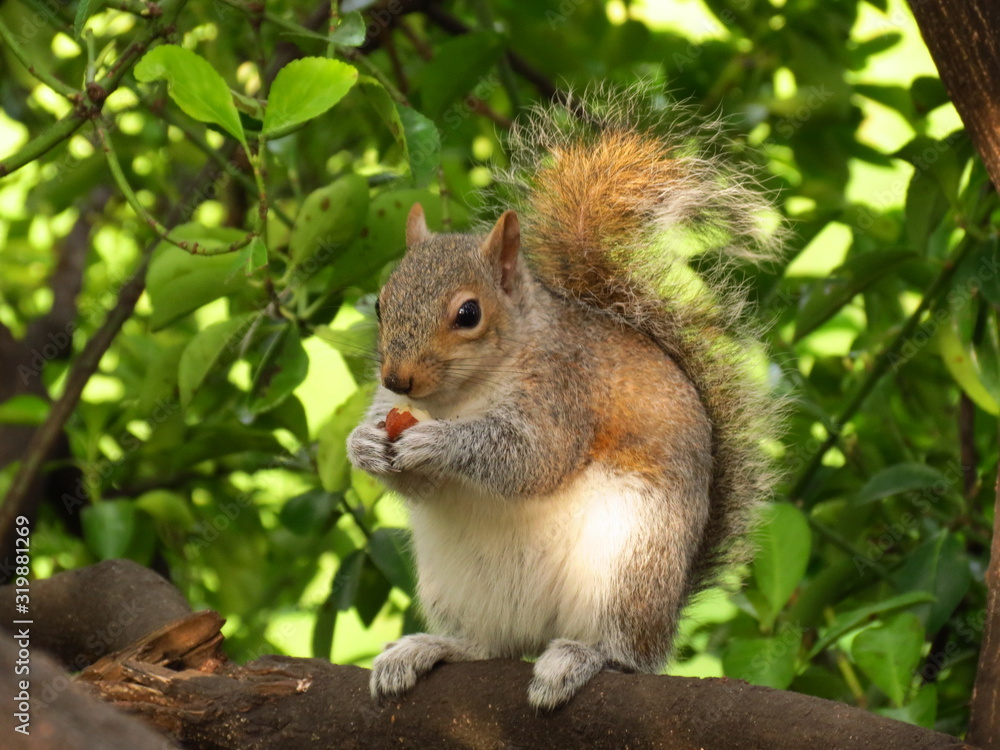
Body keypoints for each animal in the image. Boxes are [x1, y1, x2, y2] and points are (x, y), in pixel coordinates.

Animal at [347, 87, 783, 711]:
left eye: (468, 313)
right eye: (382, 304)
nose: (399, 379)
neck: (461, 395)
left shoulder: (564, 392)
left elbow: (532, 458)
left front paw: (438, 442)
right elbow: (416, 477)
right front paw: (363, 445)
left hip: (628, 566)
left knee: (625, 653)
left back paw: (579, 658)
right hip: (456, 587)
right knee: (487, 645)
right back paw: (429, 649)